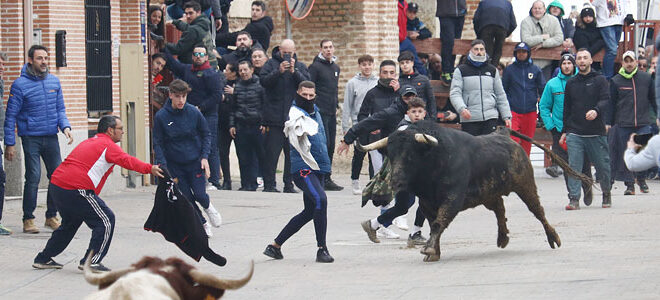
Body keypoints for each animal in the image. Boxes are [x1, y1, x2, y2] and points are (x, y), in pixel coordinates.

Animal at [356, 120, 592, 262]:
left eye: (410, 155)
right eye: (390, 153)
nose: (395, 181)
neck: (435, 159)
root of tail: (504, 134)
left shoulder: (452, 198)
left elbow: (439, 223)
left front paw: (430, 250)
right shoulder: (426, 203)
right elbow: (433, 224)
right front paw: (434, 252)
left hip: (525, 185)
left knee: (537, 210)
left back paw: (554, 238)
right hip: (489, 194)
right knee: (500, 210)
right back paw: (502, 238)